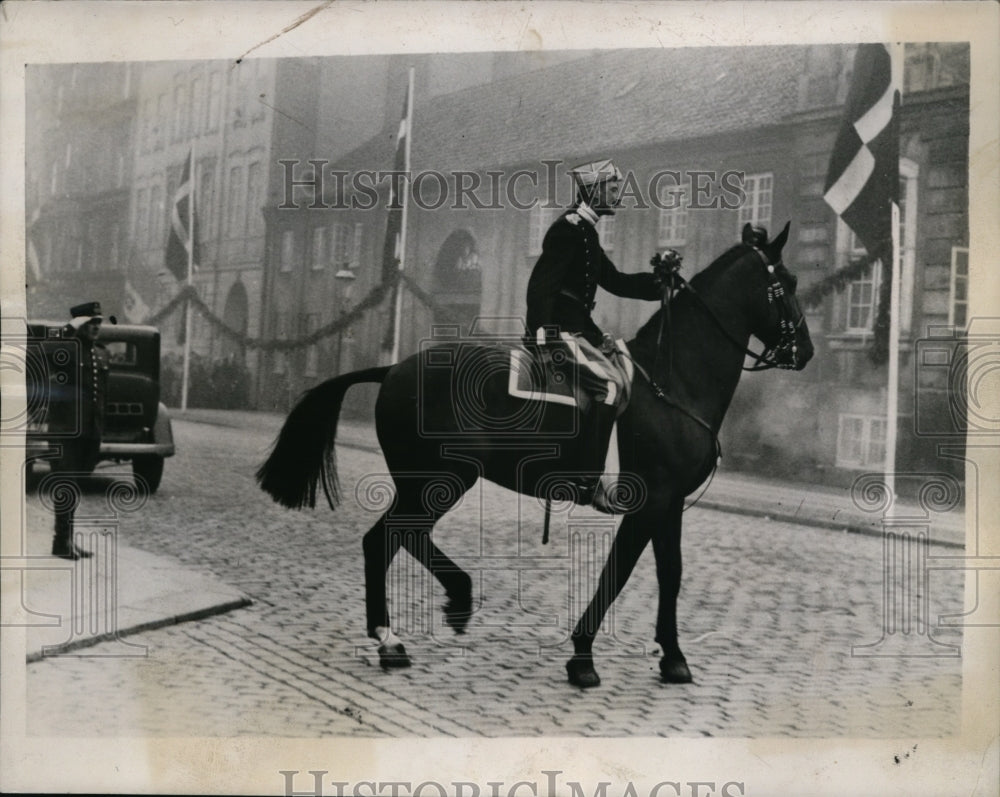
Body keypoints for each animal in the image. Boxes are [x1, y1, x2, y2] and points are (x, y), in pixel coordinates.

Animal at [256, 221, 812, 688]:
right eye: (787, 282)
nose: (804, 351)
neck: (672, 382)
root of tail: (393, 368)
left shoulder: (665, 504)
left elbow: (663, 573)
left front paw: (667, 657)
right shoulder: (654, 499)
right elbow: (625, 574)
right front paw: (588, 657)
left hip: (430, 482)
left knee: (398, 538)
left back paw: (426, 617)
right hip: (441, 480)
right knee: (387, 538)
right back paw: (408, 628)